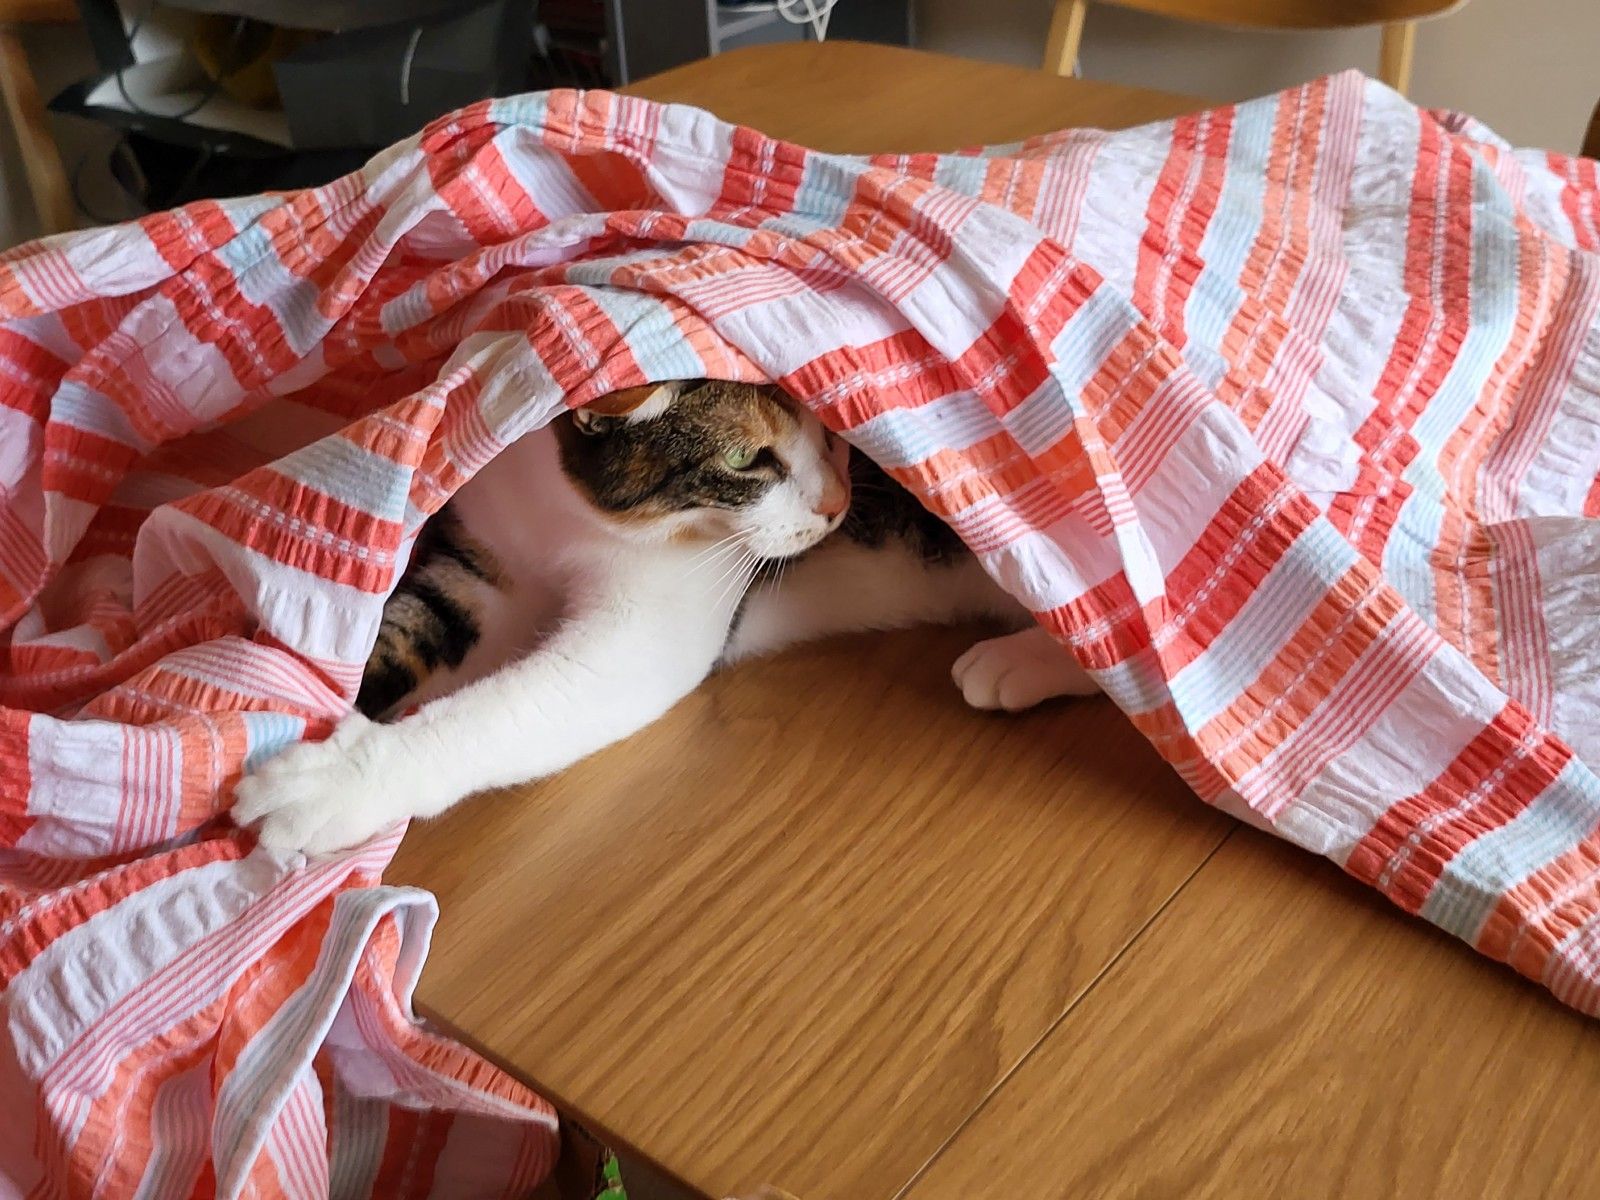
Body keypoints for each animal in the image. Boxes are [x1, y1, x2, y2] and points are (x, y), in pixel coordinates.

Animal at [234, 380, 1098, 854]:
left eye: (831, 427)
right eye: (747, 458)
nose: (838, 503)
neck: (563, 520)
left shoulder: (645, 633)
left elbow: (502, 713)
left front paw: (339, 783)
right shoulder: (476, 572)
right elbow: (404, 630)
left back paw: (1017, 661)